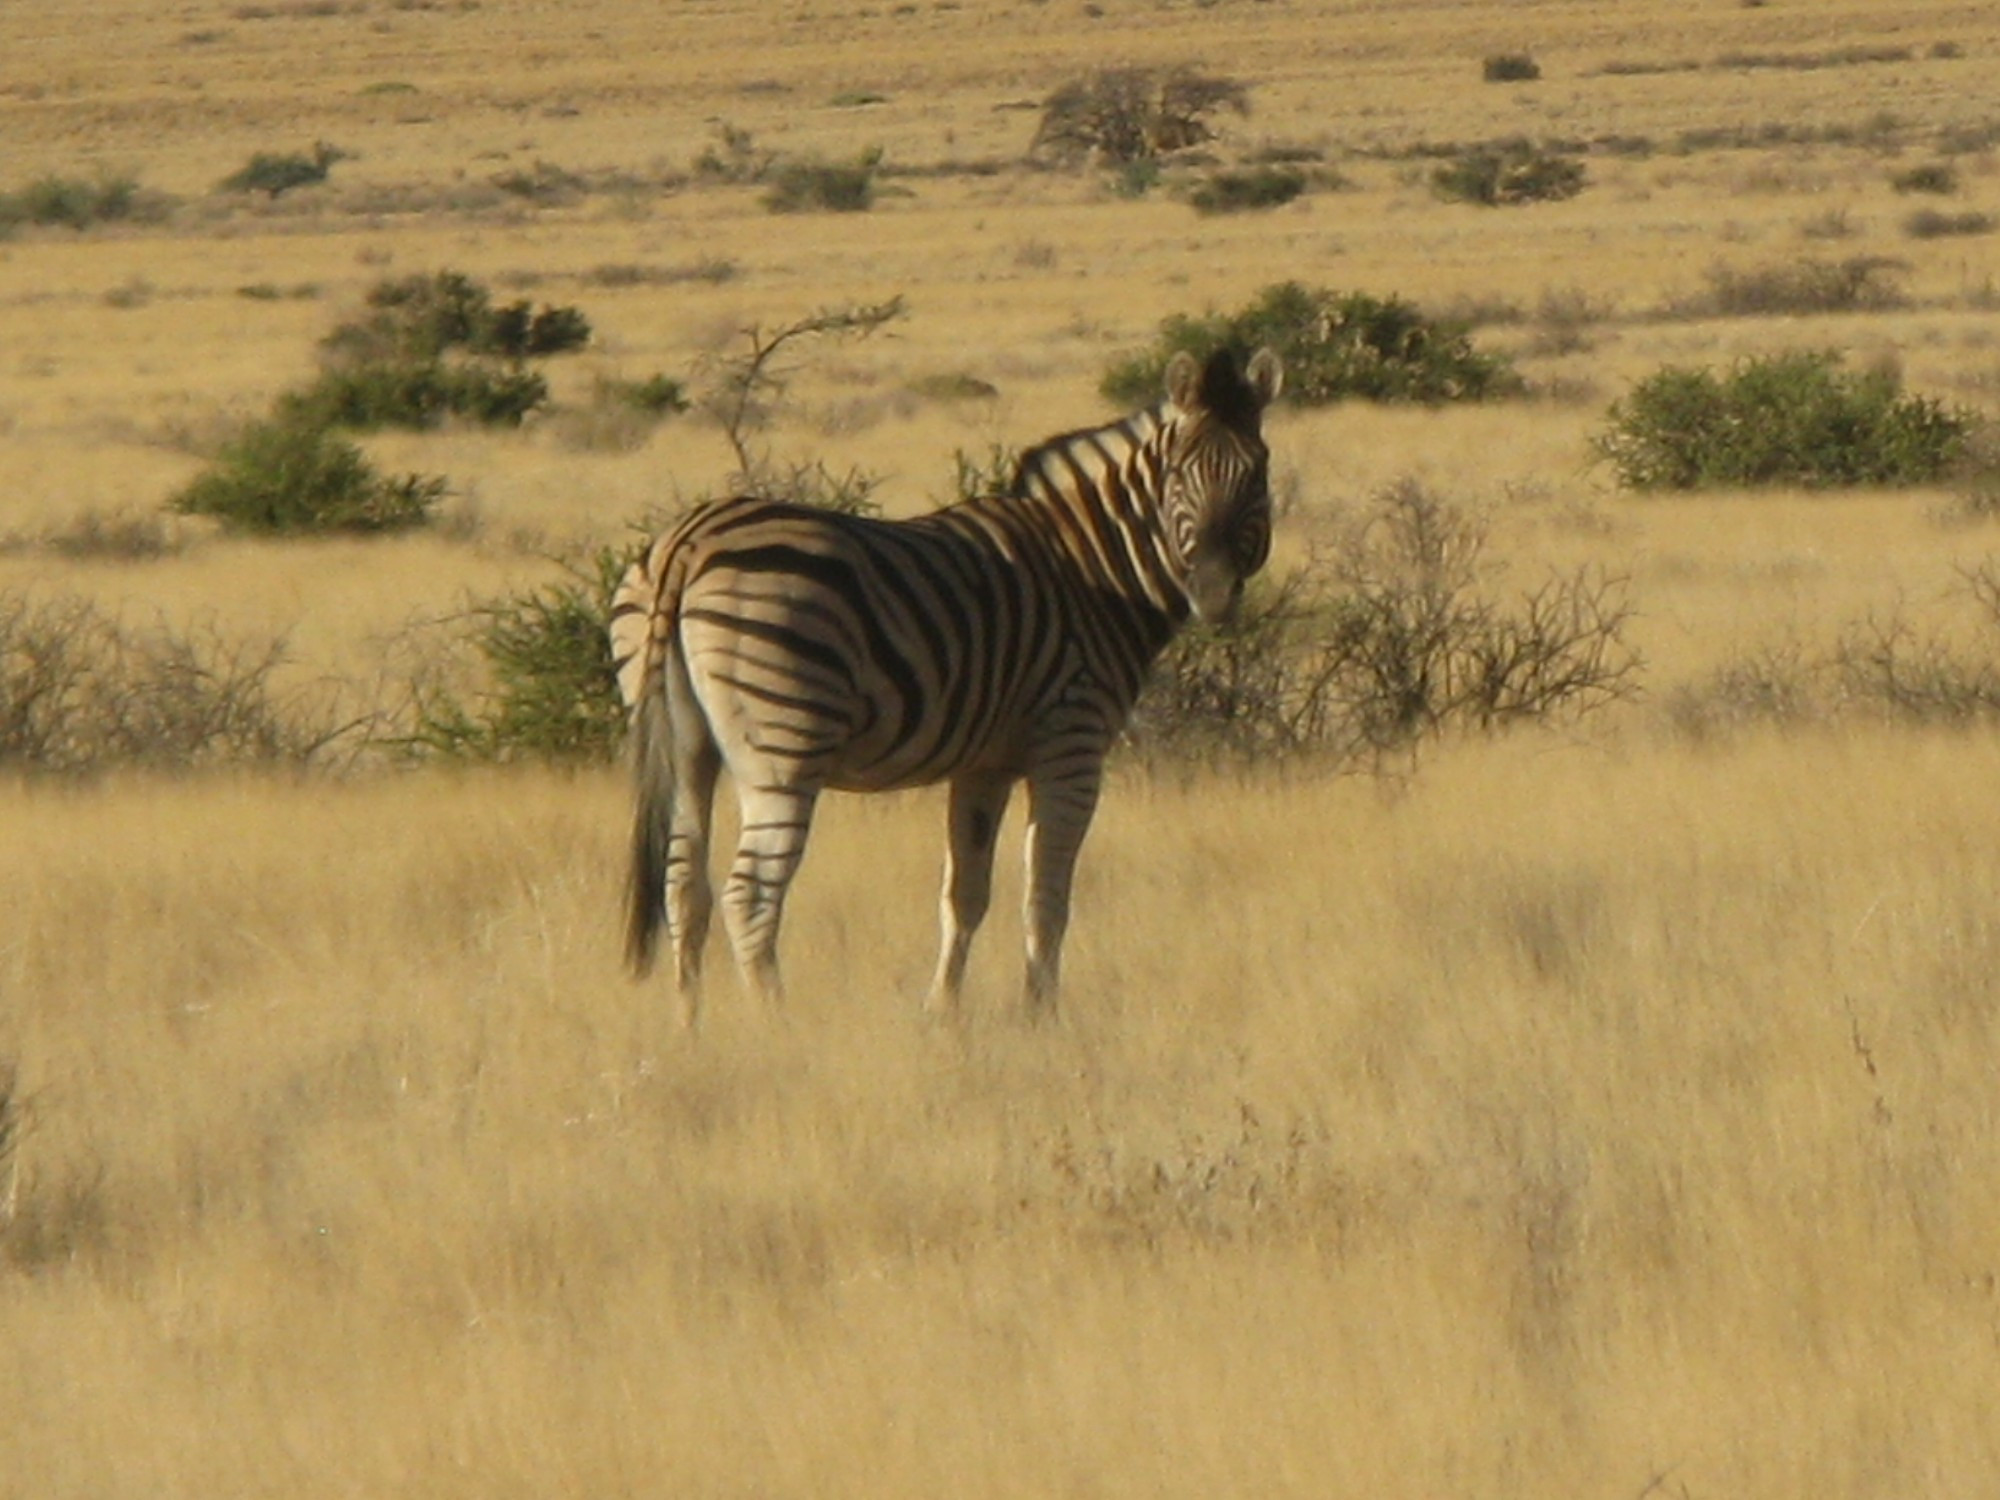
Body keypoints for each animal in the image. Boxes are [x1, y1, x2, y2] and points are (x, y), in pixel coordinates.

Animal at [608, 342, 1288, 1032]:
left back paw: (690, 1025)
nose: (1214, 594)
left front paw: (943, 1009)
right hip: (785, 740)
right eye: (1178, 474)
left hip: (685, 741)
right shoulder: (1070, 744)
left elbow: (965, 894)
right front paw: (1041, 1015)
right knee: (748, 894)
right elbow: (1047, 895)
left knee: (682, 884)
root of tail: (689, 541)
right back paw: (778, 1023)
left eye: (1257, 474)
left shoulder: (985, 764)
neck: (1092, 567)